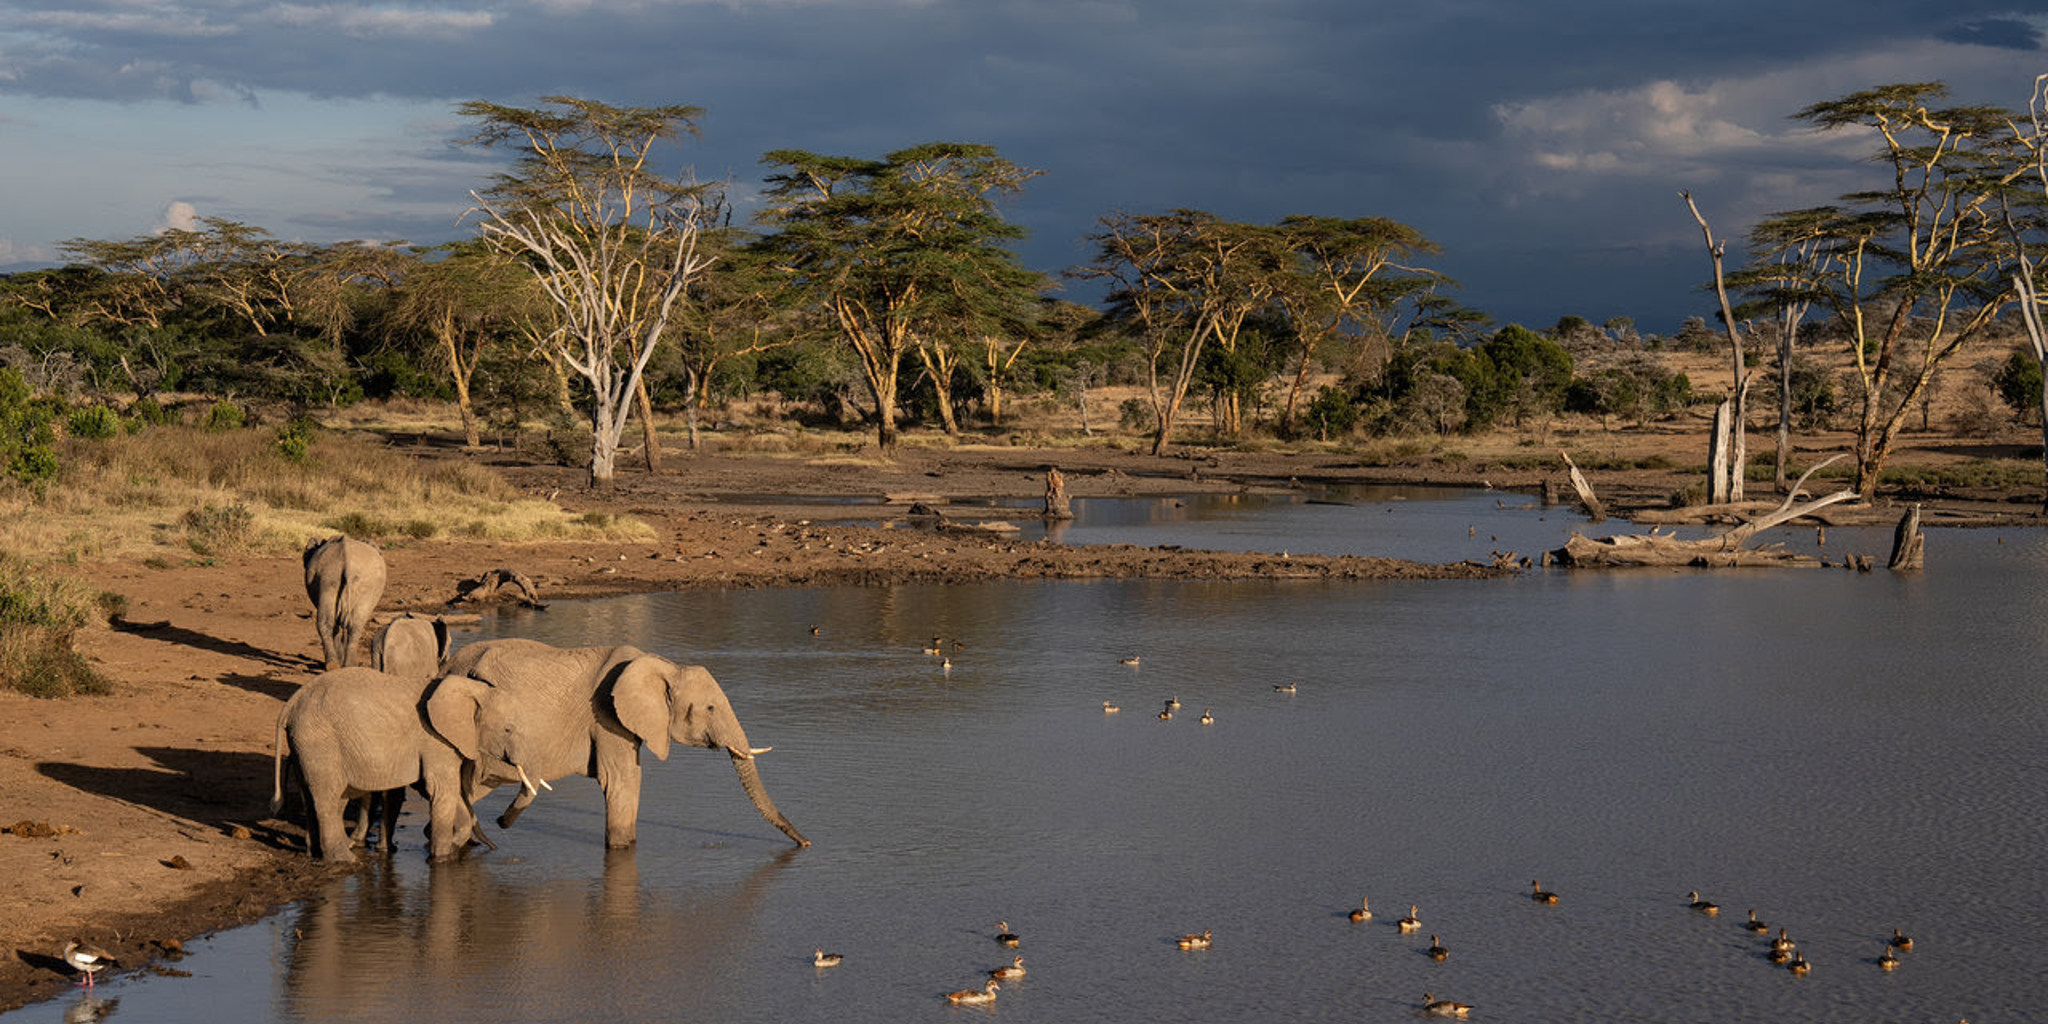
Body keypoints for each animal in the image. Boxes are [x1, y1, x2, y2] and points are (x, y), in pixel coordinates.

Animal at [271, 667, 476, 863]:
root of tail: (292, 703)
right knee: (328, 794)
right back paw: (345, 859)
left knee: (311, 795)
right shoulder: (436, 741)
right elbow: (440, 789)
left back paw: (316, 853)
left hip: (302, 743)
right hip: (318, 739)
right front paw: (442, 858)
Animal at [303, 535, 387, 670]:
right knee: (353, 624)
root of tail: (346, 560)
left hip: (328, 576)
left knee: (332, 622)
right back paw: (347, 665)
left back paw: (335, 665)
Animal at [430, 638, 809, 850]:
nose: (806, 843)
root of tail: (446, 666)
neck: (664, 665)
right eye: (711, 708)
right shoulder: (606, 715)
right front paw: (622, 848)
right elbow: (623, 781)